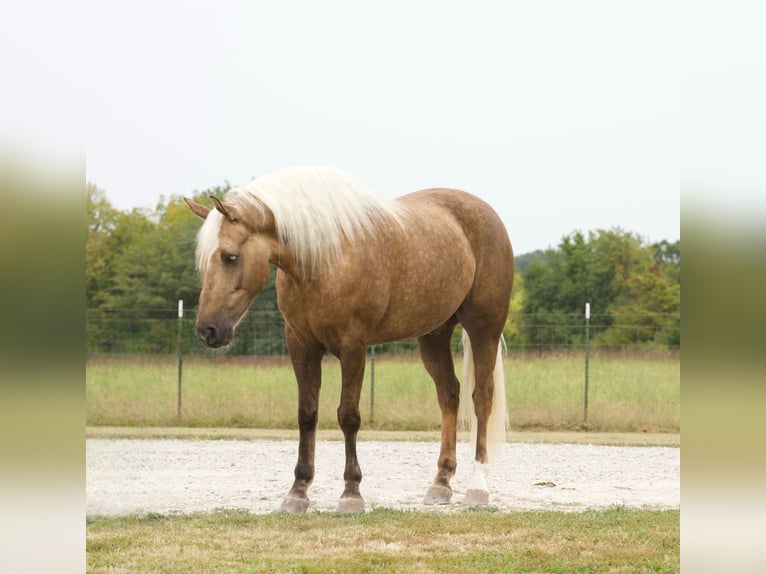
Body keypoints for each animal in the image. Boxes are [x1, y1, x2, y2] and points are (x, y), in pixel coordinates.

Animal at [183, 165, 512, 512]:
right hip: (434, 335)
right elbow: (307, 414)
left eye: (230, 257)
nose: (208, 331)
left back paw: (477, 487)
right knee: (449, 395)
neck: (323, 258)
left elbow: (348, 416)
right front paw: (298, 491)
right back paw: (441, 483)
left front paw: (352, 492)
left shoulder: (353, 346)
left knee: (481, 399)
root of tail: (486, 213)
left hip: (483, 329)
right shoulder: (300, 344)